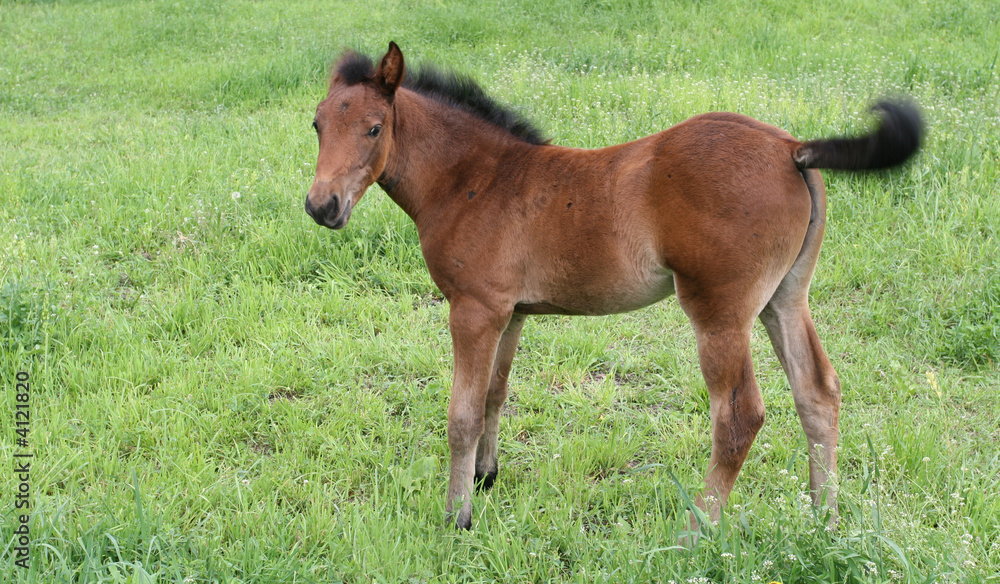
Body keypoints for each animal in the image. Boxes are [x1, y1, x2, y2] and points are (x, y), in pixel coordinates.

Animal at [305, 41, 923, 531]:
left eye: (374, 128)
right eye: (317, 124)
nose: (321, 207)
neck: (477, 180)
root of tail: (793, 149)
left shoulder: (473, 309)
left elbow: (461, 415)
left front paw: (458, 515)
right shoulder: (511, 311)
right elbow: (494, 395)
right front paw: (486, 478)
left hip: (719, 311)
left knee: (739, 416)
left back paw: (696, 533)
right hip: (785, 298)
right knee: (817, 392)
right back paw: (826, 521)